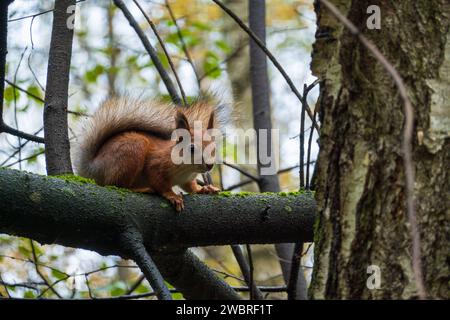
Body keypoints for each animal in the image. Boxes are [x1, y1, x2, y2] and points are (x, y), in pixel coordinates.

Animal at [74, 97, 224, 212]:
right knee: (117, 185)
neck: (186, 169)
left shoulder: (187, 179)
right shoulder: (155, 164)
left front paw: (204, 189)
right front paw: (173, 195)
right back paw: (143, 189)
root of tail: (93, 169)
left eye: (213, 147)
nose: (210, 165)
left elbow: (191, 187)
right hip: (132, 151)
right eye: (192, 148)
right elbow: (159, 182)